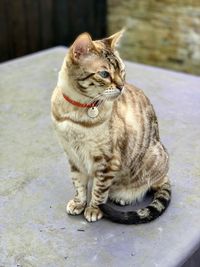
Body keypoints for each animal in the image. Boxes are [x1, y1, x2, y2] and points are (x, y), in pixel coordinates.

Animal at [50, 30, 171, 225]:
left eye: (122, 71)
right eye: (104, 74)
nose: (121, 86)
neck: (76, 112)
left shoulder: (107, 161)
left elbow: (99, 191)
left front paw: (93, 209)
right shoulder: (73, 156)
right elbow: (79, 184)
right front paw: (78, 204)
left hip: (153, 158)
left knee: (146, 186)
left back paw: (123, 197)